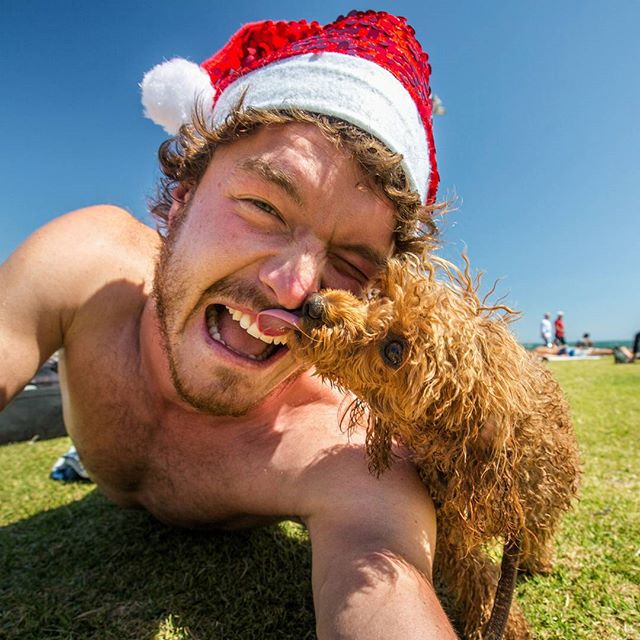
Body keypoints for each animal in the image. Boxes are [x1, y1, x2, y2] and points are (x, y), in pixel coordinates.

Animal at [278, 252, 576, 636]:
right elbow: (475, 573)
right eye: (380, 296)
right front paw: (498, 621)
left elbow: (536, 532)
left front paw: (534, 565)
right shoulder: (450, 529)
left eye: (394, 350)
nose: (314, 304)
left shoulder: (539, 497)